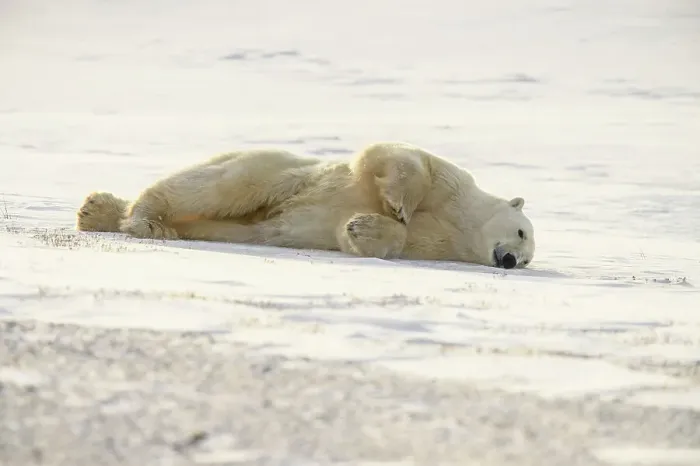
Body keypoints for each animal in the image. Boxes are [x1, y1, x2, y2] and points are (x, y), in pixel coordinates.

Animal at [76, 141, 535, 269]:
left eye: (528, 260)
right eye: (520, 230)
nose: (510, 260)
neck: (461, 225)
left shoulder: (438, 243)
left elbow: (392, 241)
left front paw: (364, 227)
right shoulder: (452, 185)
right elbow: (397, 159)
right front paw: (399, 205)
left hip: (241, 224)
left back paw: (99, 210)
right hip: (277, 174)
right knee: (220, 186)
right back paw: (144, 219)